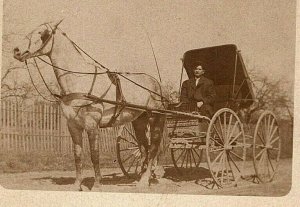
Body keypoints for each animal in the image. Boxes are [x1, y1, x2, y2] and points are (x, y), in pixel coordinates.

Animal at [12, 20, 165, 190]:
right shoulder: (73, 126)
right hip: (139, 121)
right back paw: (143, 178)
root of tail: (156, 82)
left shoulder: (92, 125)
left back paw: (145, 180)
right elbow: (78, 155)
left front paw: (97, 184)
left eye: (42, 33)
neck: (78, 80)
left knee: (153, 148)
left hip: (155, 118)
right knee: (144, 148)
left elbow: (94, 154)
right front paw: (77, 184)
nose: (17, 51)